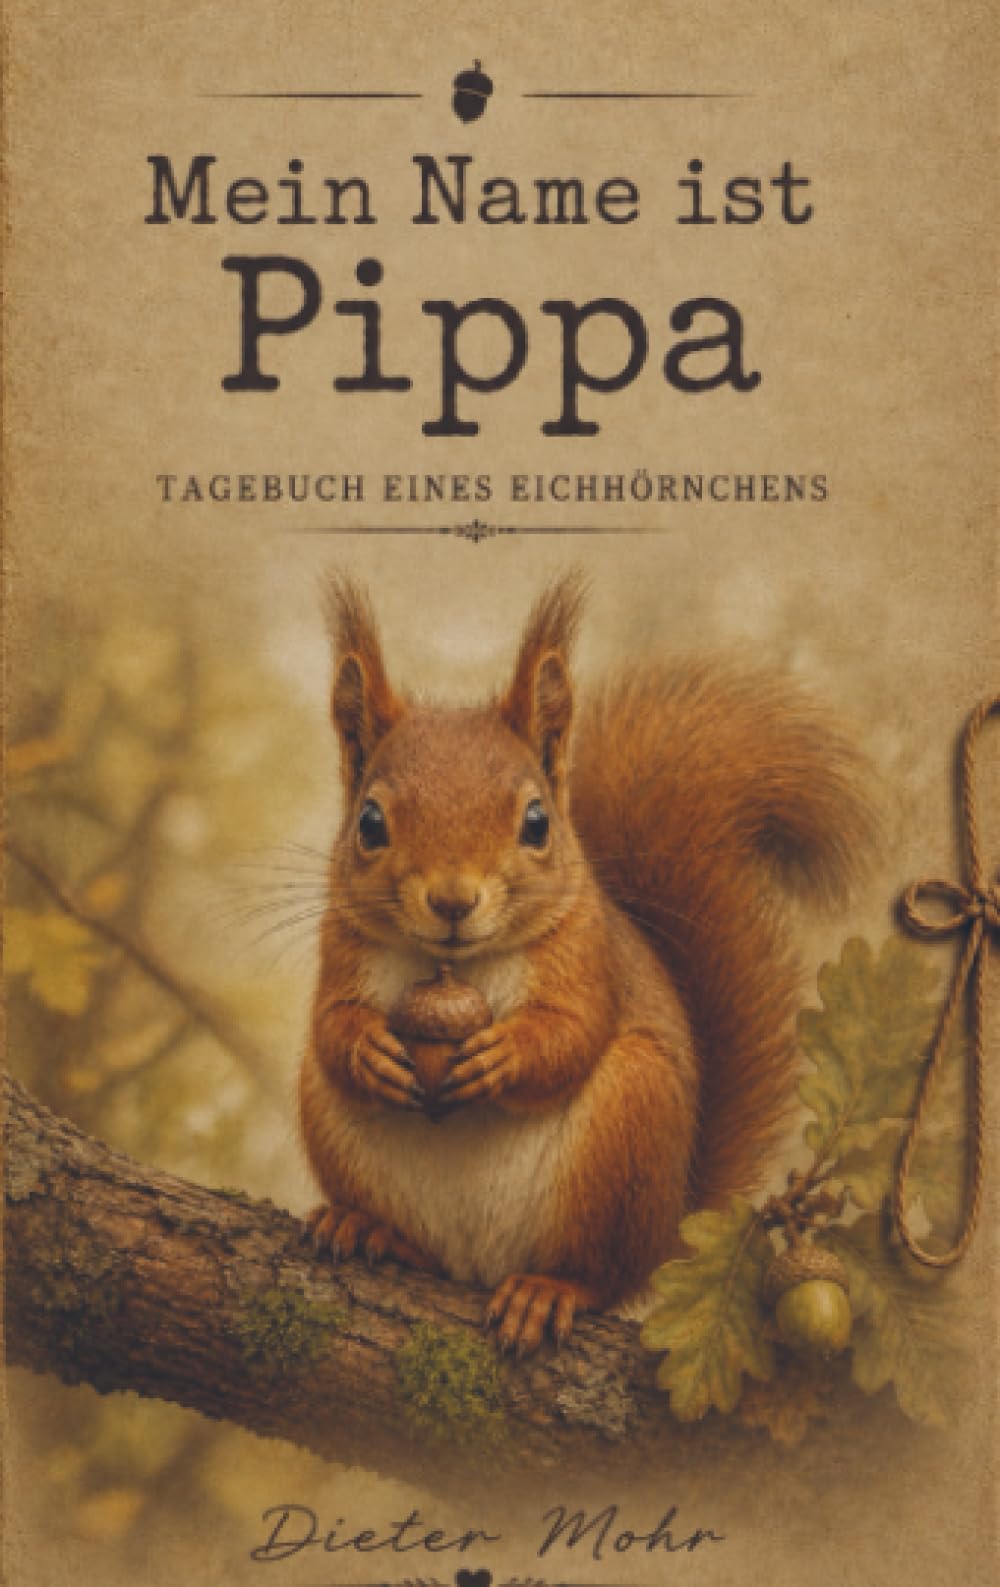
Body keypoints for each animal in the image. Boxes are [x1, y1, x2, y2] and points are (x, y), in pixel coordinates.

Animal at [299, 572, 875, 1355]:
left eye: (537, 822)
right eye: (370, 822)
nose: (452, 900)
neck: (454, 969)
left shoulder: (587, 954)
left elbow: (573, 1032)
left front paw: (505, 1054)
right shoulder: (341, 946)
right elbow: (330, 1023)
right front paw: (370, 1051)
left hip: (628, 1125)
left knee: (598, 1273)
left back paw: (548, 1289)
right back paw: (370, 1229)